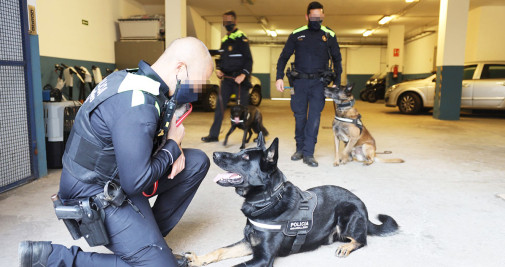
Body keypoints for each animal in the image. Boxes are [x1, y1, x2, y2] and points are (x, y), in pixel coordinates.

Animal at [18, 37, 213, 267]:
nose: (197, 96)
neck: (151, 77)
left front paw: (180, 156)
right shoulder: (136, 114)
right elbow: (137, 177)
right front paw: (176, 142)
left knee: (199, 163)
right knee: (149, 253)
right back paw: (40, 252)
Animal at [183, 133, 400, 266]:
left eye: (245, 158)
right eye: (239, 152)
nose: (214, 153)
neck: (268, 200)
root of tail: (362, 207)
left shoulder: (263, 257)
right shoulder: (248, 243)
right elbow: (219, 250)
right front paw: (198, 258)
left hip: (347, 211)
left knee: (361, 240)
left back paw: (346, 246)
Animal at [276, 1, 342, 166]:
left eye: (319, 17)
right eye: (312, 17)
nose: (317, 22)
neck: (313, 30)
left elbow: (337, 57)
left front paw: (309, 155)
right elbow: (284, 55)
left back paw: (307, 154)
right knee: (300, 116)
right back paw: (299, 151)